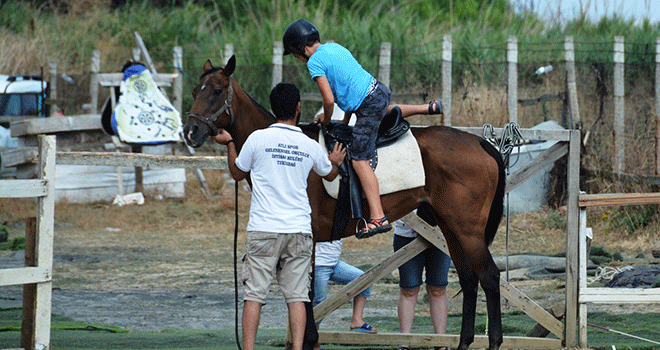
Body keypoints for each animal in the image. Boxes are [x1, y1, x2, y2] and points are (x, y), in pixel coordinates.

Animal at [184, 55, 506, 350]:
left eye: (216, 91)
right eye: (195, 91)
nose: (190, 132)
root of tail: (479, 142)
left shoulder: (307, 238)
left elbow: (306, 294)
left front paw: (310, 340)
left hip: (467, 231)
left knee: (489, 276)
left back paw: (493, 341)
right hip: (451, 228)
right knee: (469, 279)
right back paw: (464, 343)